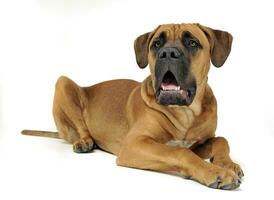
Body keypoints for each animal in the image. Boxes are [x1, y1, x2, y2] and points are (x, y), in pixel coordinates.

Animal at [22, 22, 244, 190]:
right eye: (157, 44)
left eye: (192, 42)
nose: (168, 53)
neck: (185, 112)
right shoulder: (135, 144)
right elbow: (179, 152)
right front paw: (215, 172)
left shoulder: (200, 142)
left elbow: (221, 140)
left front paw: (228, 164)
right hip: (63, 83)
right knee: (82, 128)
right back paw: (85, 142)